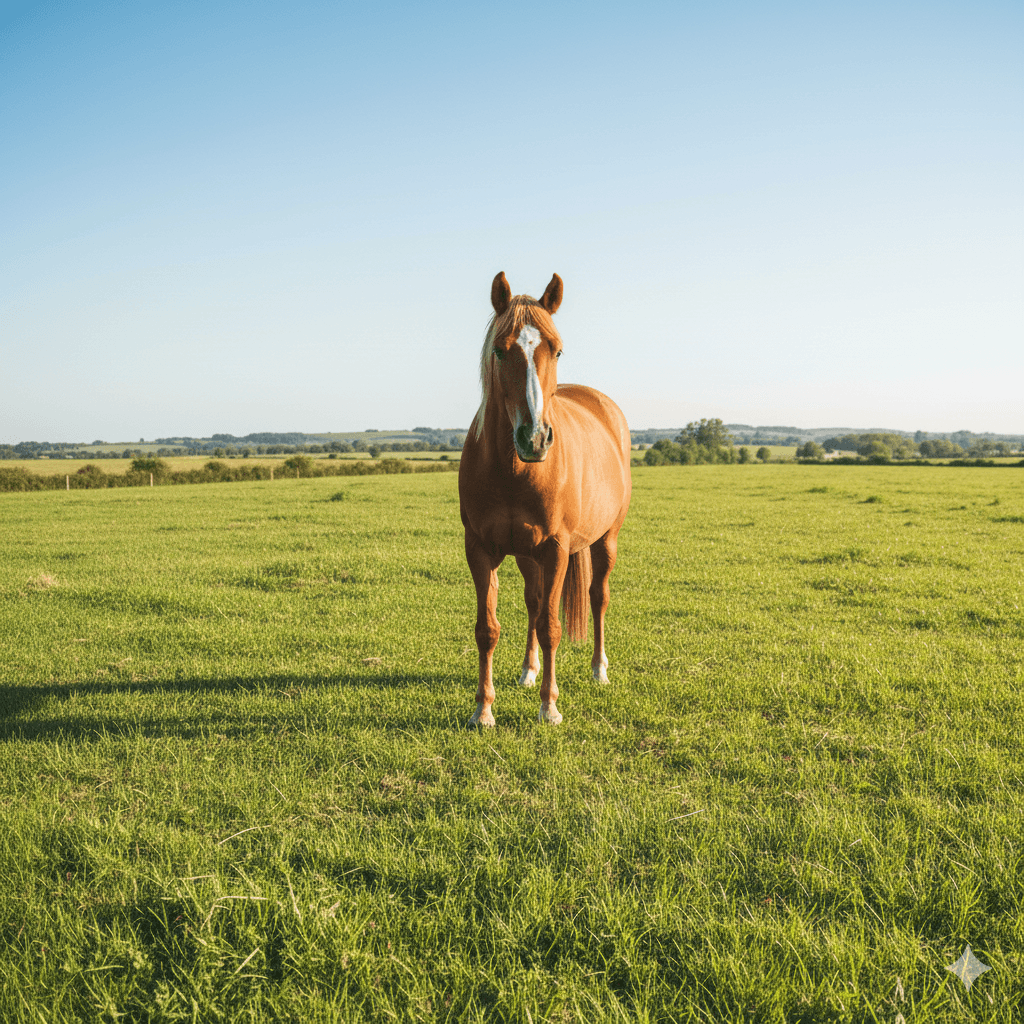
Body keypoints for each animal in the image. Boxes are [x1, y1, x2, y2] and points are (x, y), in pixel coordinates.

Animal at [458, 272, 632, 726]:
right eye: (500, 350)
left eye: (556, 349)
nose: (534, 439)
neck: (513, 472)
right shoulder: (480, 549)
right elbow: (488, 628)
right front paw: (483, 709)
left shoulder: (555, 549)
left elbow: (551, 627)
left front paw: (549, 707)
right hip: (526, 554)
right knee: (534, 603)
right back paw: (528, 670)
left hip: (605, 540)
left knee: (597, 597)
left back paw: (599, 669)